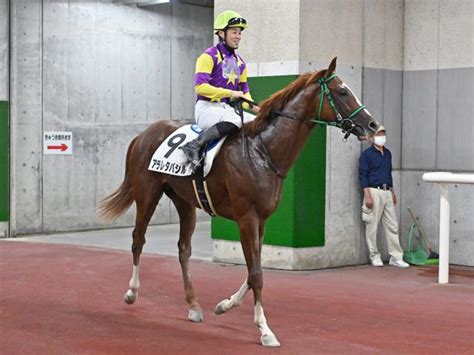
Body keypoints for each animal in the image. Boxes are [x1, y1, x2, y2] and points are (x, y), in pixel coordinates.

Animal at [99, 57, 378, 348]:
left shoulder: (261, 221)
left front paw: (225, 305)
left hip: (184, 201)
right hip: (147, 194)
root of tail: (142, 135)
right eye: (342, 92)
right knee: (138, 239)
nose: (372, 126)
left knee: (184, 249)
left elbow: (253, 269)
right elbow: (256, 274)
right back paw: (132, 292)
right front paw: (265, 329)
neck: (262, 151)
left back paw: (193, 305)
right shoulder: (247, 217)